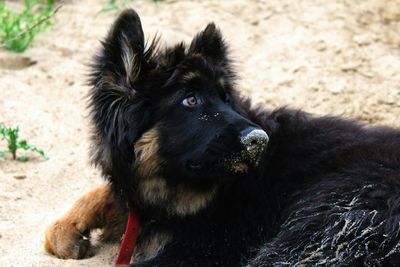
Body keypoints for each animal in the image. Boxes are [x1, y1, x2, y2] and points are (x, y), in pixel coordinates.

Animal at [44, 8, 400, 267]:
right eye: (190, 100)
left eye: (225, 99)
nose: (261, 140)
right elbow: (105, 195)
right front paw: (66, 227)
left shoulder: (207, 248)